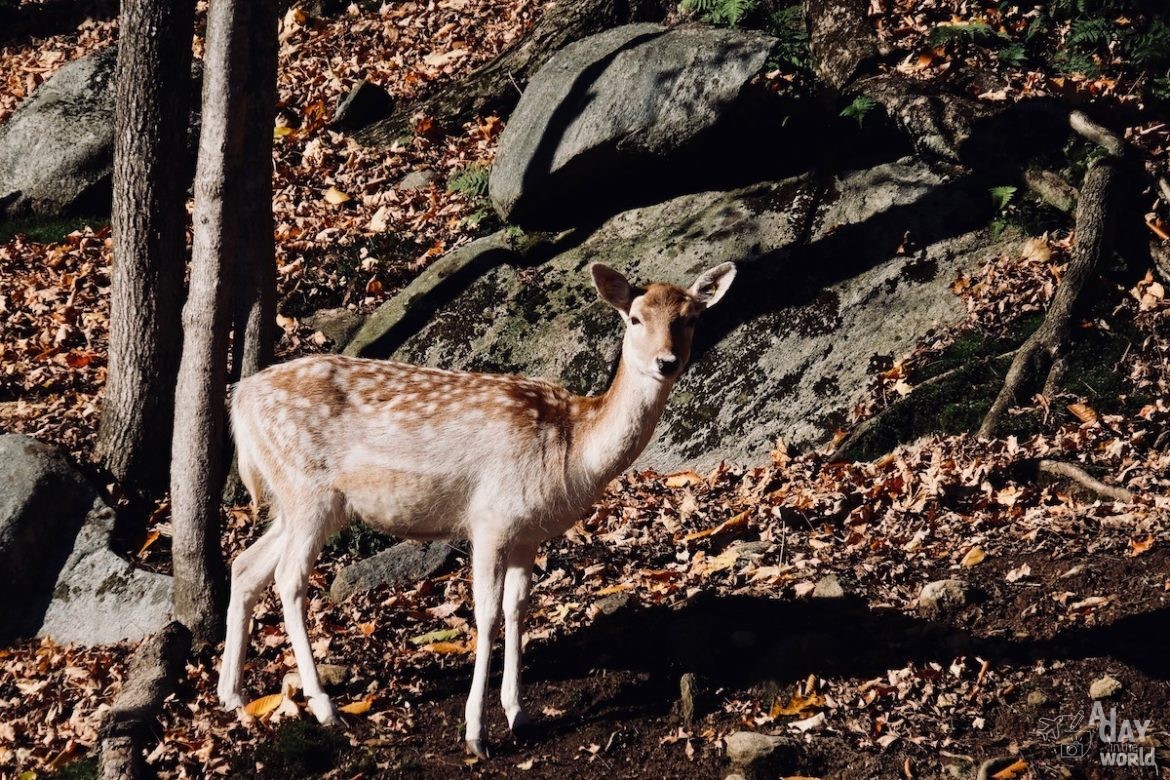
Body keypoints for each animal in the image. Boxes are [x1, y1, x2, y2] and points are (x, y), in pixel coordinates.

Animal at [215, 260, 734, 757]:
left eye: (690, 318)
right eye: (635, 317)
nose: (666, 362)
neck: (571, 454)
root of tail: (239, 401)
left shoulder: (528, 532)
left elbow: (518, 608)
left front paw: (518, 714)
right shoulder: (490, 518)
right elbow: (485, 615)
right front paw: (476, 733)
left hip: (300, 501)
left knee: (246, 565)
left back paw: (233, 694)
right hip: (309, 490)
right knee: (289, 579)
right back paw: (325, 708)